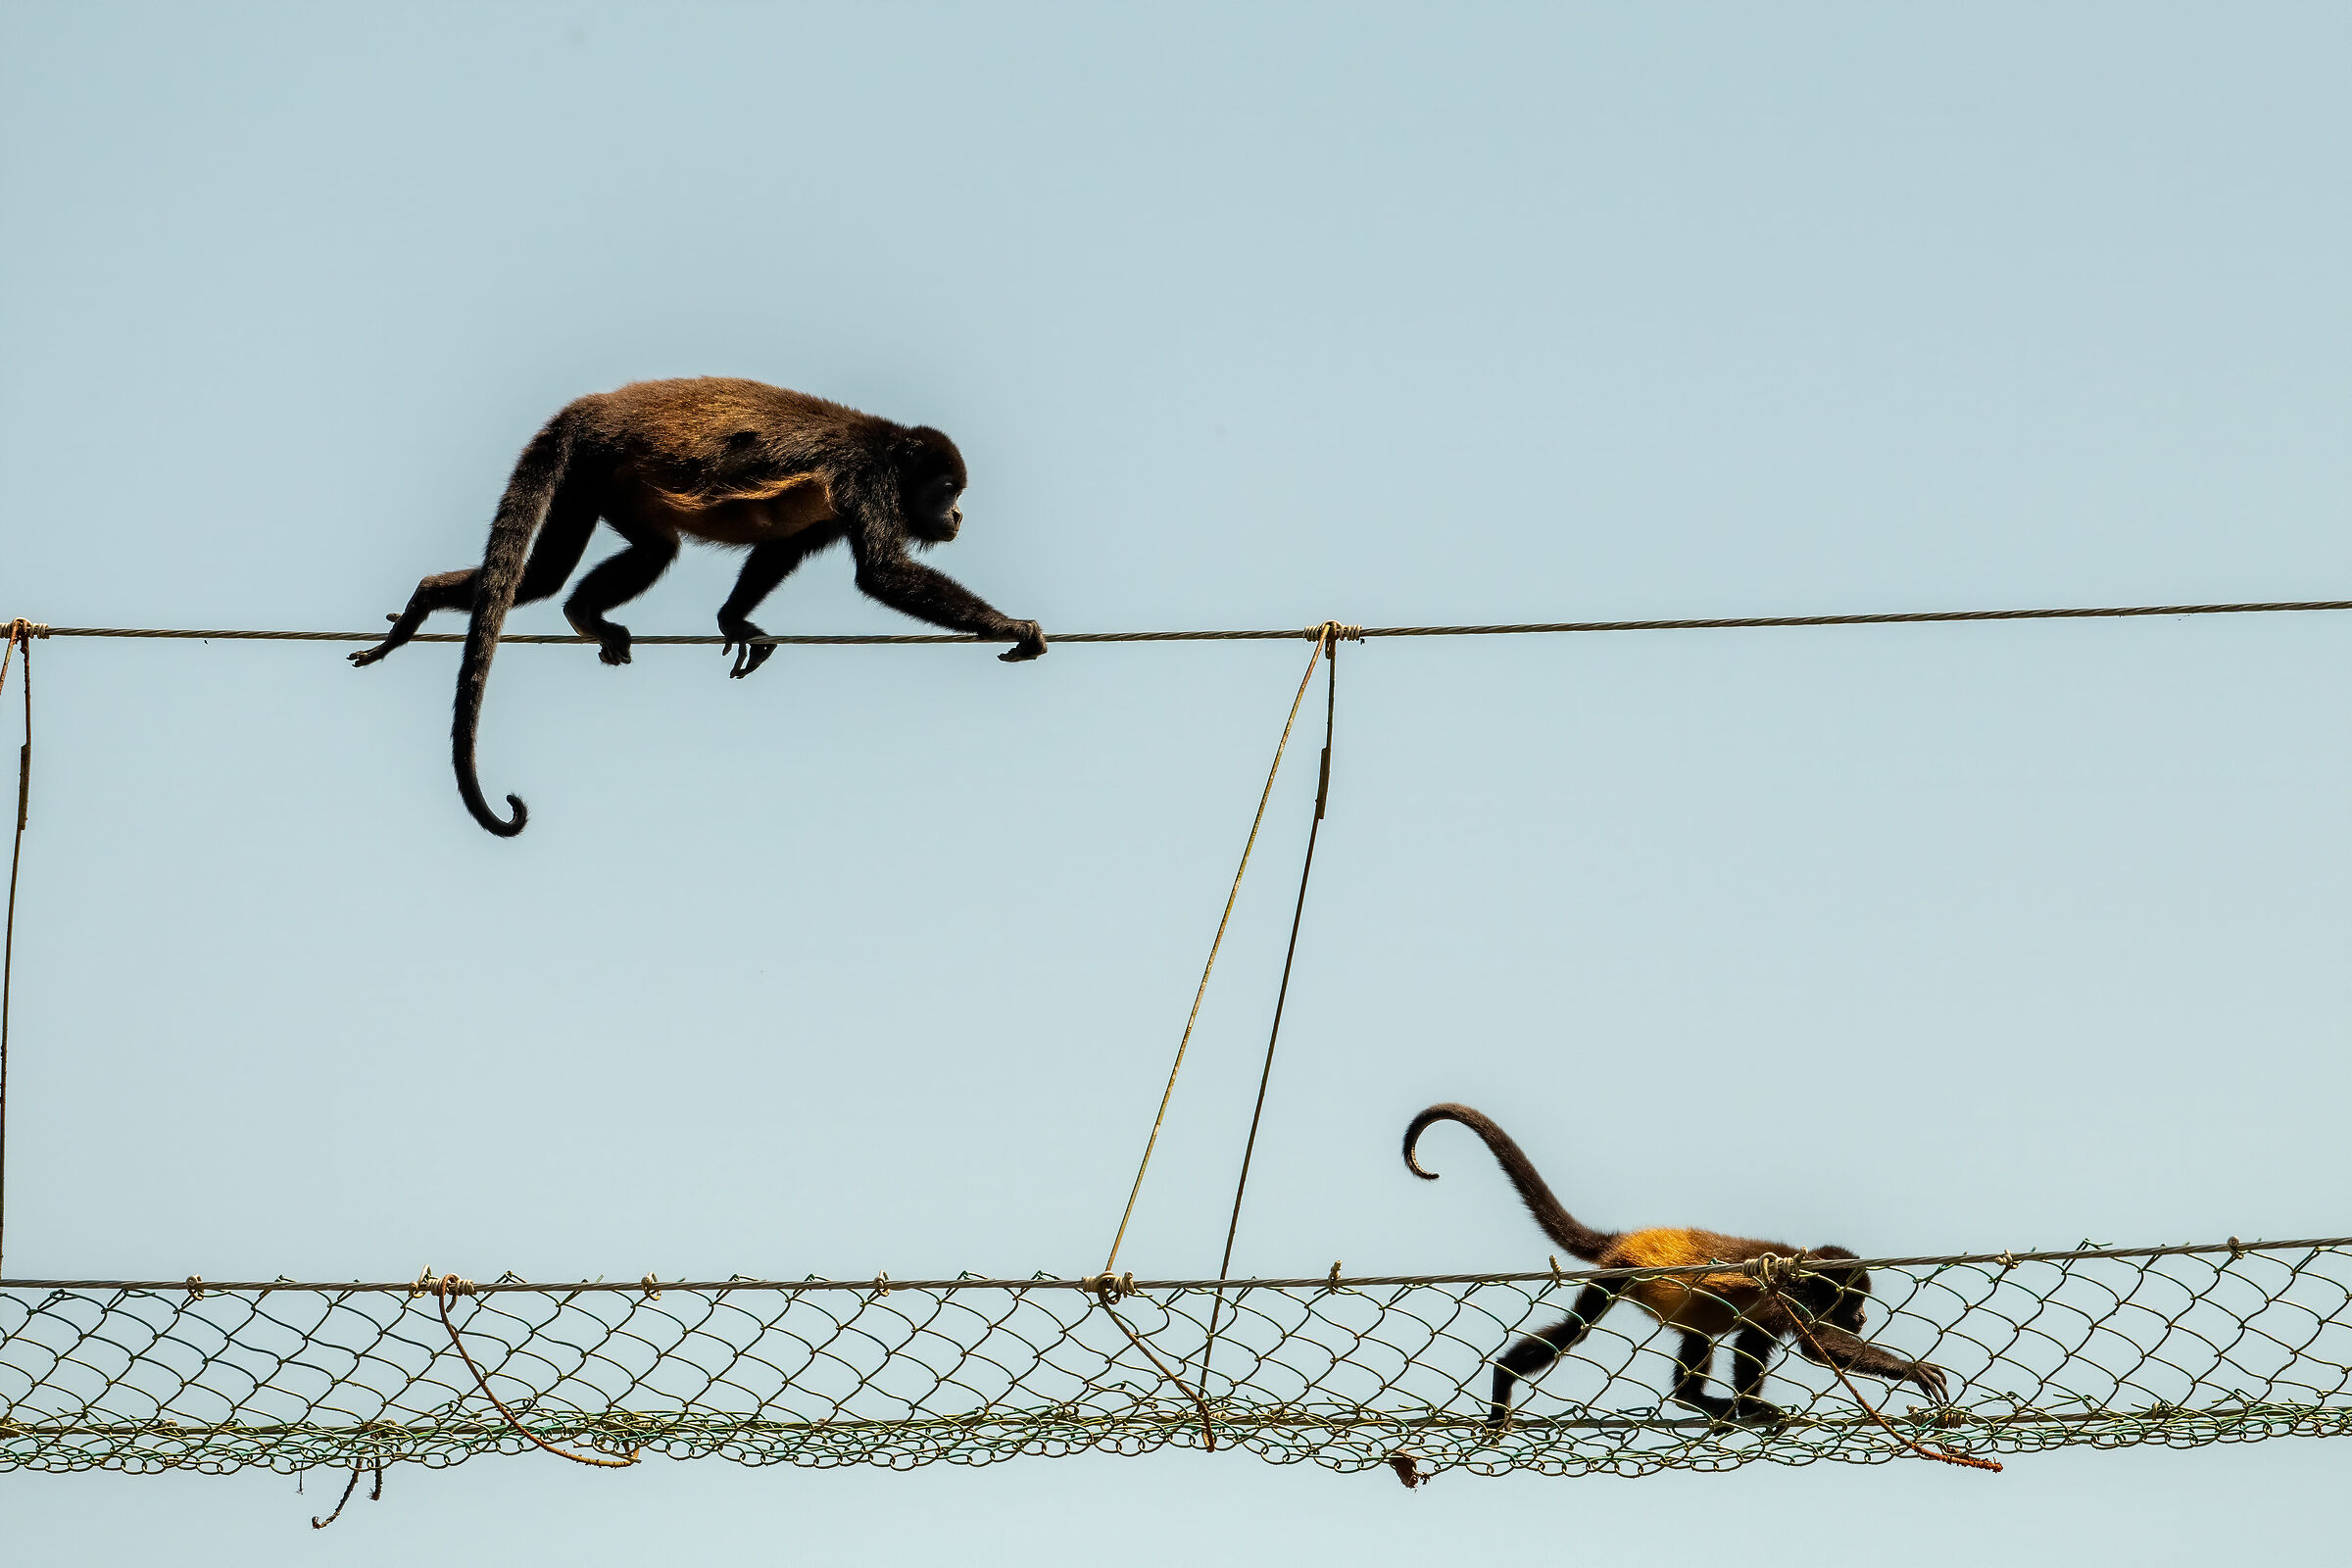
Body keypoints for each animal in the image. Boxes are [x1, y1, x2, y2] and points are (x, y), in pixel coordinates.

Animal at [349, 377, 1047, 836]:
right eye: (945, 489)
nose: (957, 515)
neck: (891, 453)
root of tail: (589, 410)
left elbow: (783, 548)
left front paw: (734, 620)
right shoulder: (865, 479)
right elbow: (884, 573)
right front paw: (1013, 626)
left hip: (591, 479)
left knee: (578, 568)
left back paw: (506, 605)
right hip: (602, 461)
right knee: (592, 565)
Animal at [1403, 1103, 1948, 1430]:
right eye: (1855, 1300)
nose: (1863, 1317)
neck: (1806, 1273)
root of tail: (1626, 1240)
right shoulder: (1789, 1298)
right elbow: (1804, 1345)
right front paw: (1910, 1368)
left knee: (1701, 1332)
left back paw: (1699, 1399)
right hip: (1618, 1274)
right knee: (1575, 1330)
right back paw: (1504, 1379)